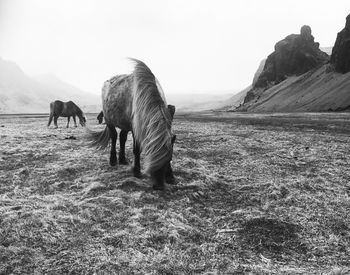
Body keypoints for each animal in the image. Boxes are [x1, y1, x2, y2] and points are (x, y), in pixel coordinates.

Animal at [90, 59, 175, 191]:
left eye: (168, 159)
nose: (159, 186)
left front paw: (170, 176)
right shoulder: (136, 129)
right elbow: (136, 149)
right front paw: (136, 171)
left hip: (125, 124)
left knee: (122, 138)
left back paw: (123, 159)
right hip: (110, 121)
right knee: (114, 137)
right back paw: (113, 160)